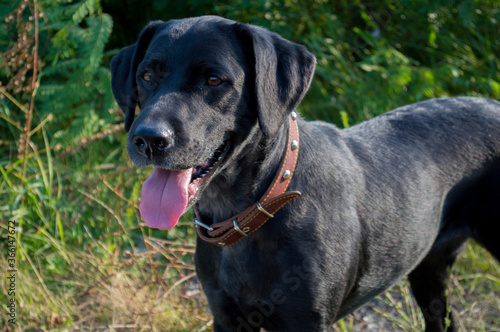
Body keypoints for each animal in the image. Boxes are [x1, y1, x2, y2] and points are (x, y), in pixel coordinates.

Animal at [110, 14, 500, 330]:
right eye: (146, 75)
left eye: (214, 80)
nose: (148, 139)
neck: (249, 211)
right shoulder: (226, 317)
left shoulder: (307, 322)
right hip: (428, 270)